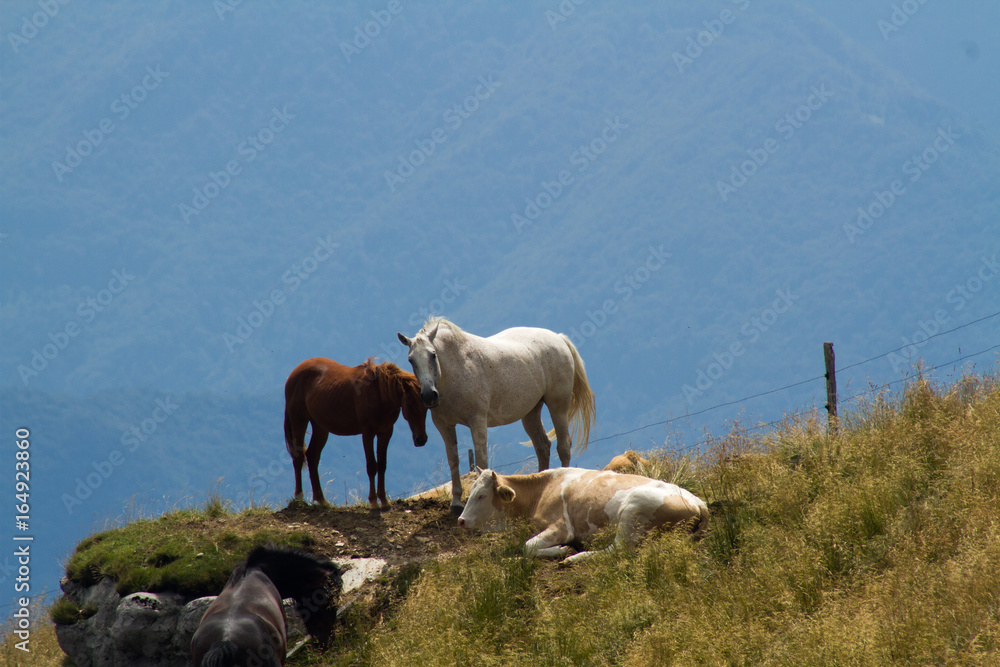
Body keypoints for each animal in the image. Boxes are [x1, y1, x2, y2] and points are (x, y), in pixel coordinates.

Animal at [284, 357, 429, 509]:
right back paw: (299, 498)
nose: (421, 439)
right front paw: (373, 502)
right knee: (299, 457)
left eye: (426, 406)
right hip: (299, 421)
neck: (379, 394)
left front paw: (384, 501)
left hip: (320, 427)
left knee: (312, 456)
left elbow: (382, 465)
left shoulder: (386, 432)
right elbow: (372, 466)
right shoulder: (368, 433)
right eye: (410, 406)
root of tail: (294, 373)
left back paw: (321, 500)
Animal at [398, 317, 596, 514]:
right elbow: (453, 461)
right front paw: (456, 502)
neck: (457, 366)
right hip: (530, 413)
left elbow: (481, 459)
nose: (428, 395)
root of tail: (559, 338)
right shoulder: (444, 425)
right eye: (411, 360)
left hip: (558, 407)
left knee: (563, 446)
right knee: (542, 446)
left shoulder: (477, 421)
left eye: (433, 354)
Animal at [457, 467, 709, 564]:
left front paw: (561, 550)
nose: (461, 520)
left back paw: (575, 557)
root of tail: (699, 502)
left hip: (633, 509)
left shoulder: (561, 527)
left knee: (618, 550)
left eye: (481, 495)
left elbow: (527, 546)